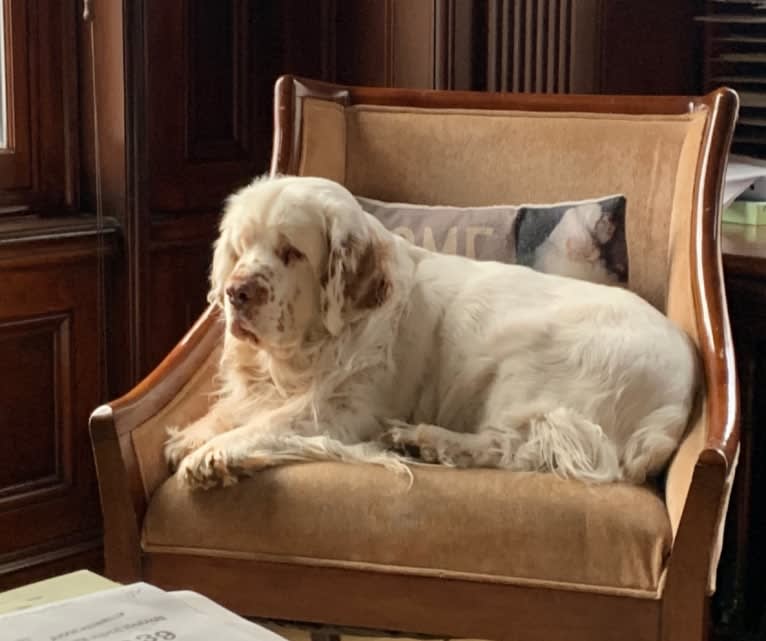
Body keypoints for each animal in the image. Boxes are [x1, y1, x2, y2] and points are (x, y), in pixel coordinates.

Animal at [165, 172, 700, 488]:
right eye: (241, 247)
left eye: (291, 252)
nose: (236, 292)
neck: (312, 348)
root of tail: (684, 386)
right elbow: (241, 407)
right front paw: (197, 434)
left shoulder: (346, 408)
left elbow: (272, 423)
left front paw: (214, 455)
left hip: (529, 362)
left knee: (517, 447)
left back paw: (425, 440)